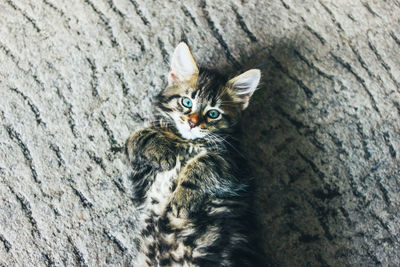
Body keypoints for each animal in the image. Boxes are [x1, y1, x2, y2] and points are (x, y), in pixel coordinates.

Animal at [126, 43, 260, 266]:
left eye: (213, 114)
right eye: (187, 102)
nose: (192, 123)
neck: (187, 143)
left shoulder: (236, 165)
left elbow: (205, 161)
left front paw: (183, 198)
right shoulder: (141, 181)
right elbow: (135, 137)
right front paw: (162, 149)